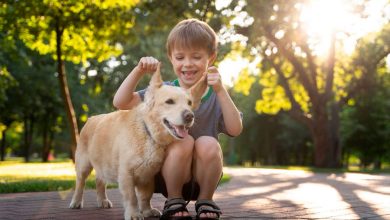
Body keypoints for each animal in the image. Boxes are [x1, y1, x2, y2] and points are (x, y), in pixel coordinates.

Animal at [69, 64, 206, 220]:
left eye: (189, 103)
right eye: (169, 101)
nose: (190, 116)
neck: (148, 132)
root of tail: (91, 118)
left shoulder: (148, 175)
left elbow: (146, 196)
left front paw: (147, 211)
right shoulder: (126, 174)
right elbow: (132, 197)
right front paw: (134, 214)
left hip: (103, 165)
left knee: (99, 181)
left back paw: (103, 200)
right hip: (83, 165)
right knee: (80, 183)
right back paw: (76, 202)